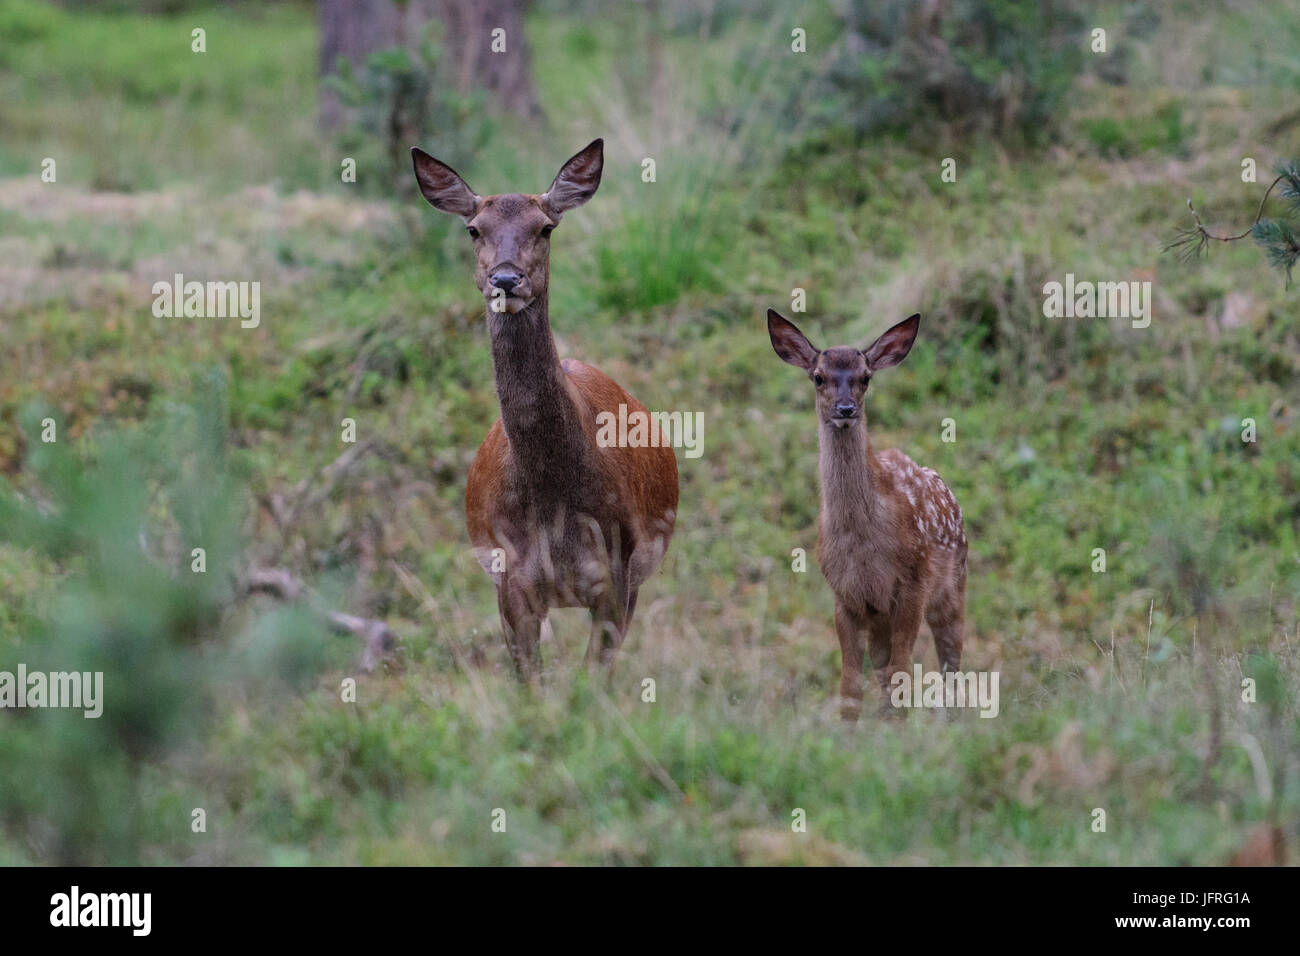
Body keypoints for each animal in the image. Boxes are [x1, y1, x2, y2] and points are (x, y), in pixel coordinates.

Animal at [411, 139, 678, 680]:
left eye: (546, 227)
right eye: (474, 228)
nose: (506, 279)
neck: (553, 504)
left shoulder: (615, 572)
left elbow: (594, 681)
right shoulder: (510, 581)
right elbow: (530, 682)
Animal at [767, 309, 967, 721]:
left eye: (865, 377)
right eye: (818, 376)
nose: (846, 409)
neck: (862, 542)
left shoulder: (913, 583)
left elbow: (903, 671)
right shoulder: (846, 595)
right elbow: (851, 685)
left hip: (954, 585)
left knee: (951, 662)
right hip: (880, 616)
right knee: (883, 669)